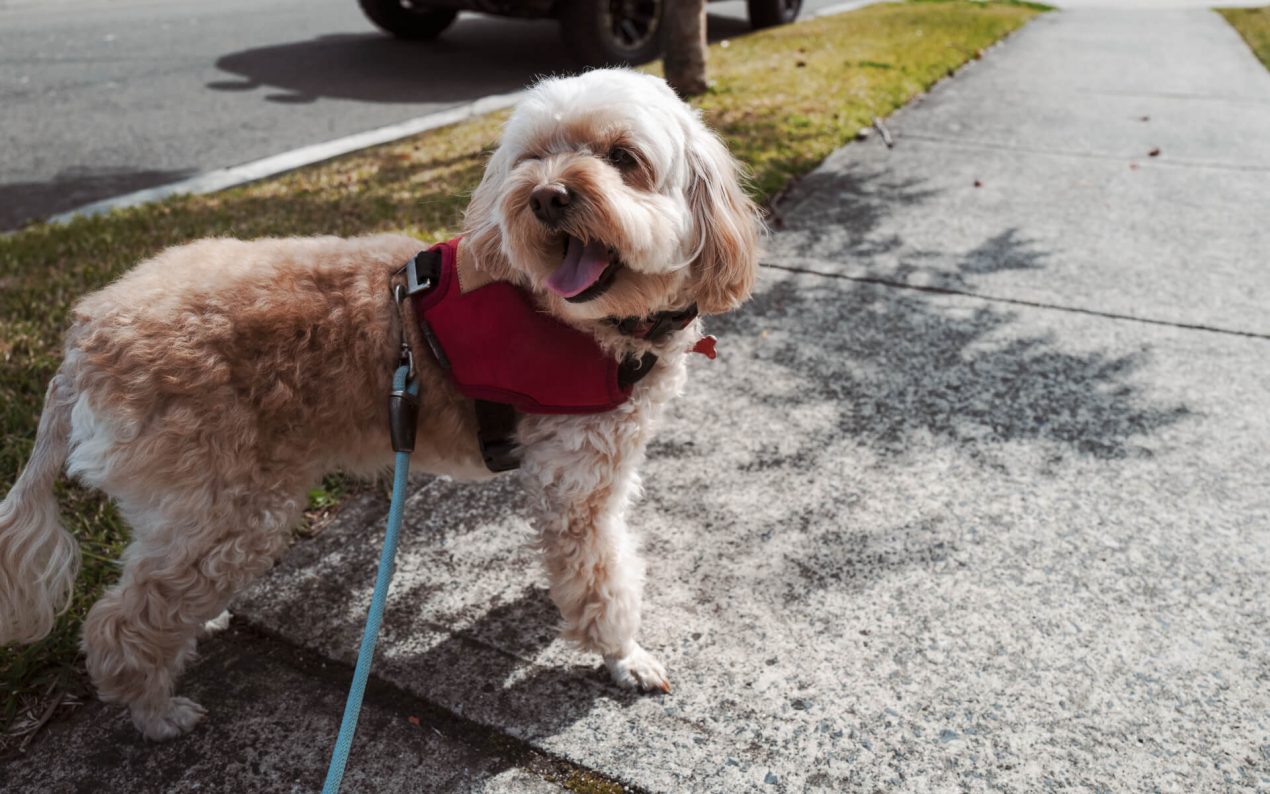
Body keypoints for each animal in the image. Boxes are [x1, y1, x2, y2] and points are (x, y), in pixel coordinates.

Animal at [0, 67, 756, 736]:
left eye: (625, 159)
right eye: (533, 157)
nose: (545, 197)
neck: (591, 322)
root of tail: (86, 334)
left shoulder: (599, 474)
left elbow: (600, 559)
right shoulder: (577, 482)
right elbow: (602, 579)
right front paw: (622, 656)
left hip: (184, 510)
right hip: (232, 508)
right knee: (122, 619)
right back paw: (154, 710)